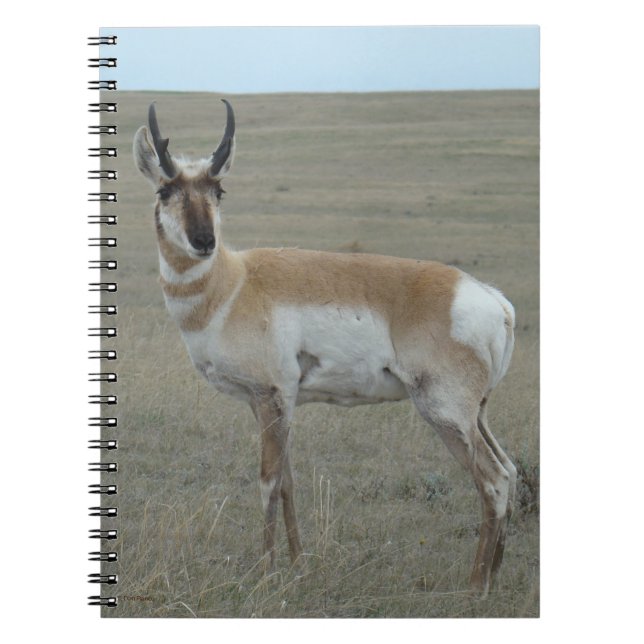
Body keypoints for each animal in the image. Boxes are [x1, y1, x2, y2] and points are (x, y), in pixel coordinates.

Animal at [133, 100, 517, 596]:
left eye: (218, 189)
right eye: (165, 190)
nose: (204, 242)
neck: (234, 284)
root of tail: (490, 298)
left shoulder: (271, 396)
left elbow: (268, 481)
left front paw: (266, 573)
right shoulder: (272, 403)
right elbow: (288, 482)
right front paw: (298, 566)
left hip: (446, 413)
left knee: (492, 479)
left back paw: (474, 587)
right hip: (478, 414)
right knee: (509, 470)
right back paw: (494, 576)